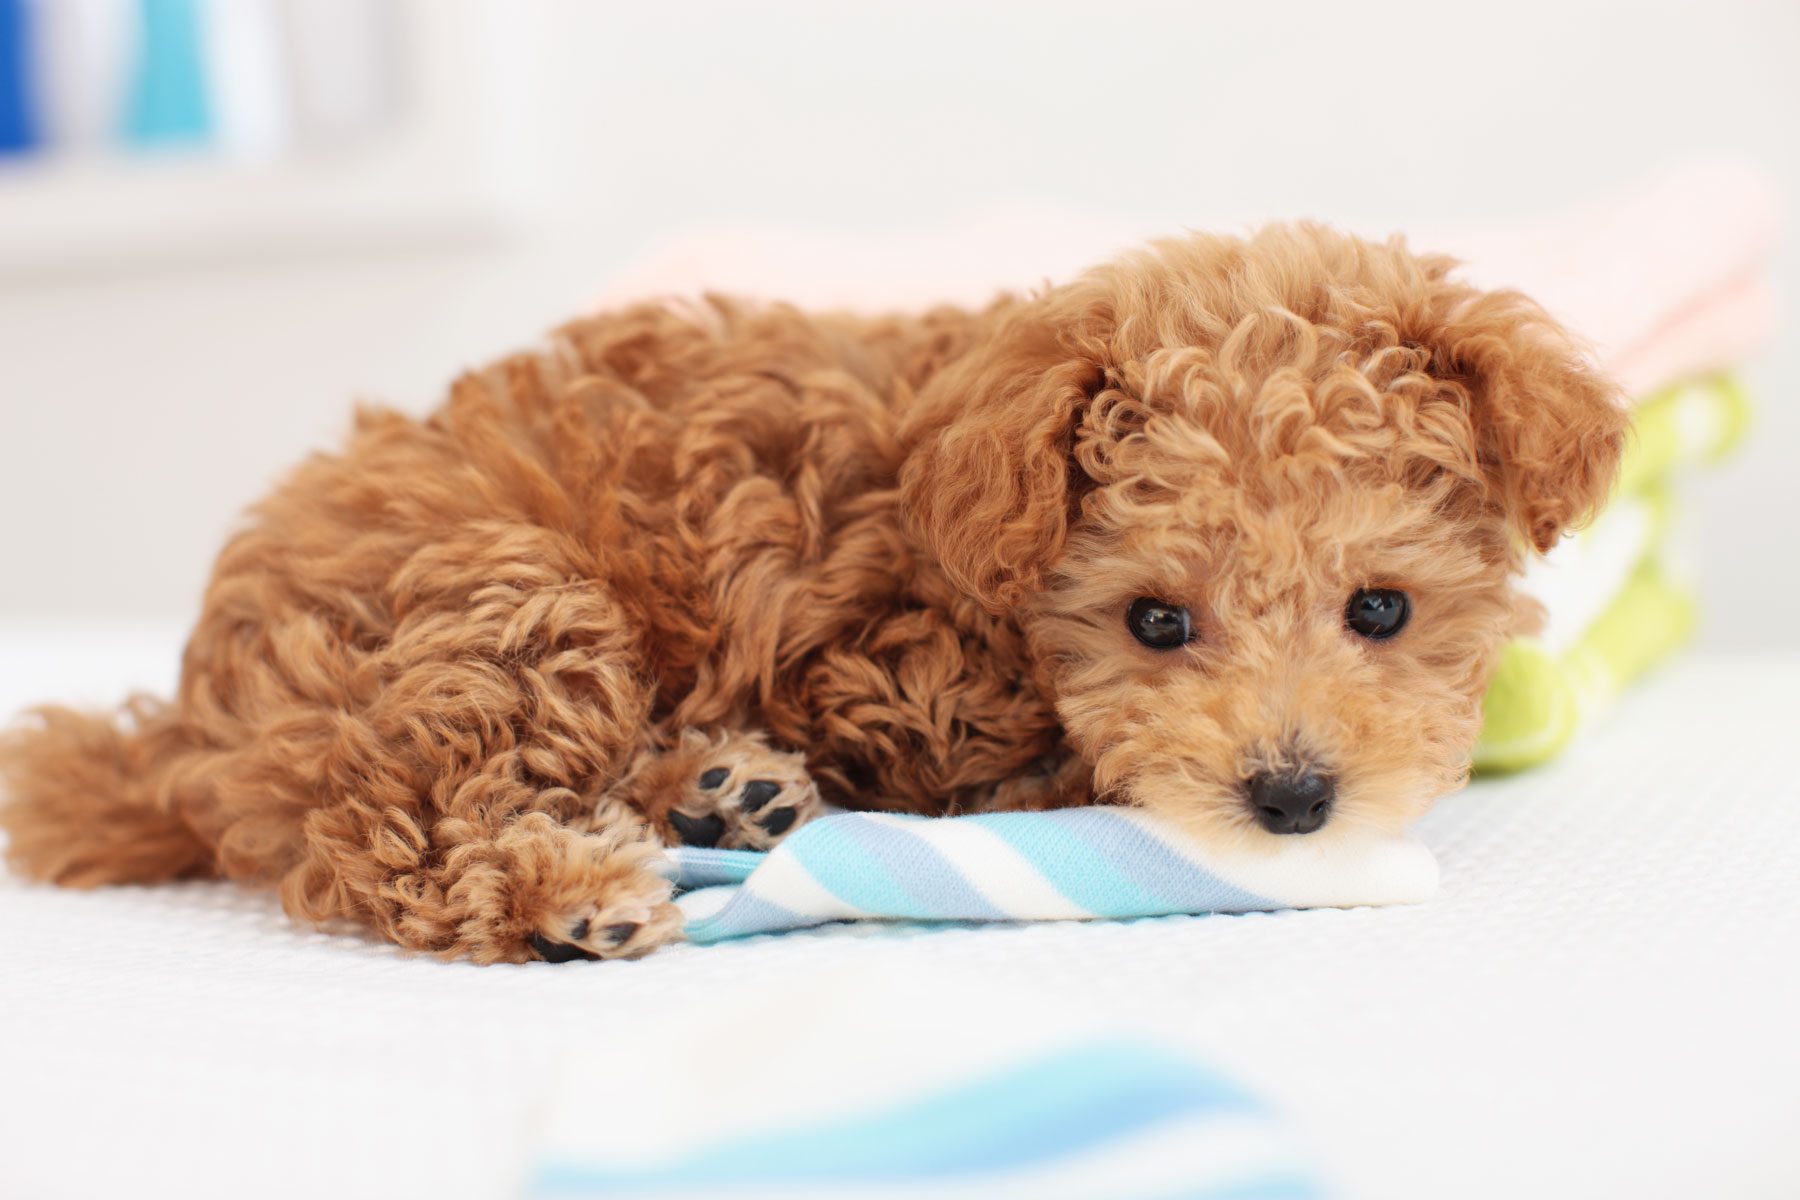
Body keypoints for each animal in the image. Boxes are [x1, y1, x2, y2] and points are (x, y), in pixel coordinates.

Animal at [0, 224, 1627, 964]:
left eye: (1383, 611)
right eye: (1158, 623)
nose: (1291, 801)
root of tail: (191, 727)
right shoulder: (897, 688)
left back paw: (728, 792)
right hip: (499, 601)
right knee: (396, 844)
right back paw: (574, 893)